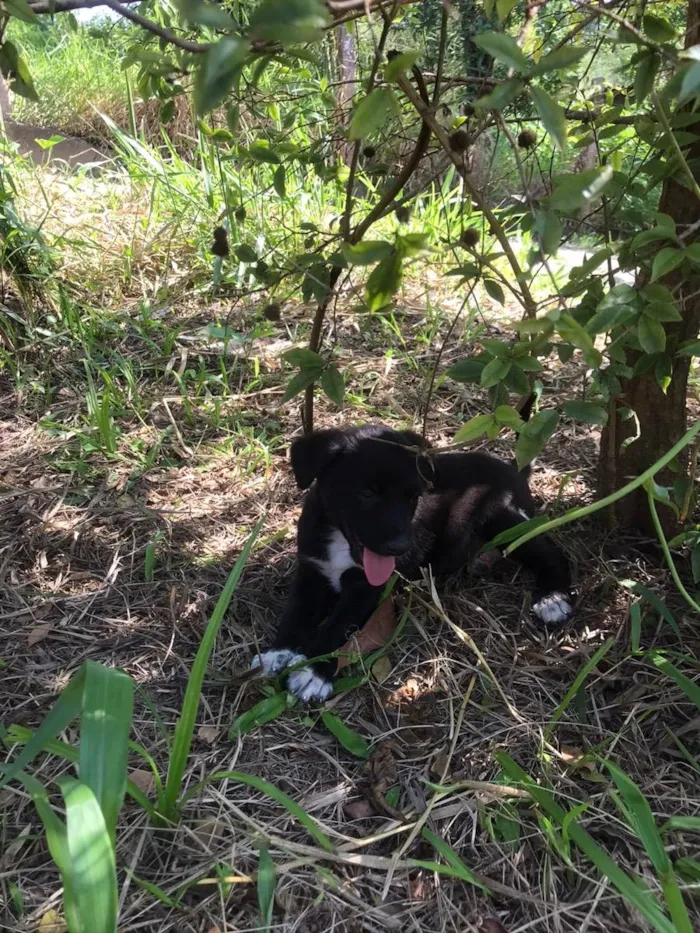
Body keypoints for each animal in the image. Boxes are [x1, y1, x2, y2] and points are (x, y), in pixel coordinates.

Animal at [254, 416, 572, 700]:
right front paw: (278, 653)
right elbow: (296, 612)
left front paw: (313, 673)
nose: (401, 547)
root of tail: (515, 469)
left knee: (553, 553)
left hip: (501, 517)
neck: (339, 542)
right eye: (367, 493)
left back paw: (553, 598)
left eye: (413, 497)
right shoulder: (312, 569)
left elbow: (338, 625)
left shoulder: (365, 589)